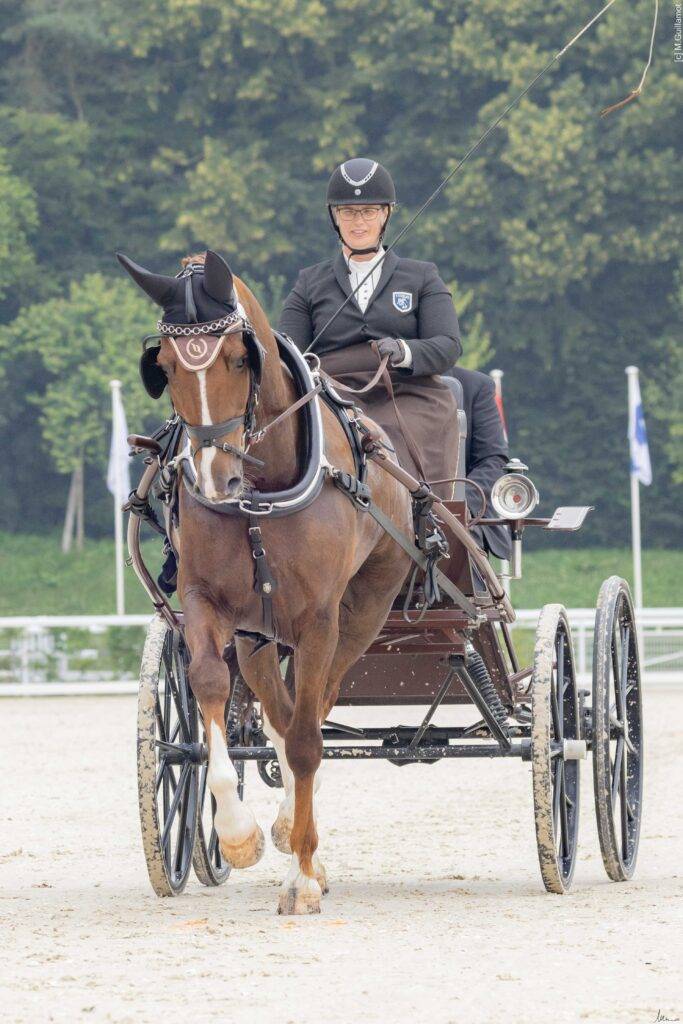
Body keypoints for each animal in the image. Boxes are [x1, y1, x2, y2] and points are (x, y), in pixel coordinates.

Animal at [118, 249, 412, 914]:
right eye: (164, 367)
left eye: (236, 357)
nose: (213, 476)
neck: (262, 491)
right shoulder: (207, 603)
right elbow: (210, 688)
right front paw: (238, 835)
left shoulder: (319, 618)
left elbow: (307, 738)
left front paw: (301, 879)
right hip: (257, 634)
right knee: (278, 712)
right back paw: (286, 830)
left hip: (360, 615)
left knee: (315, 708)